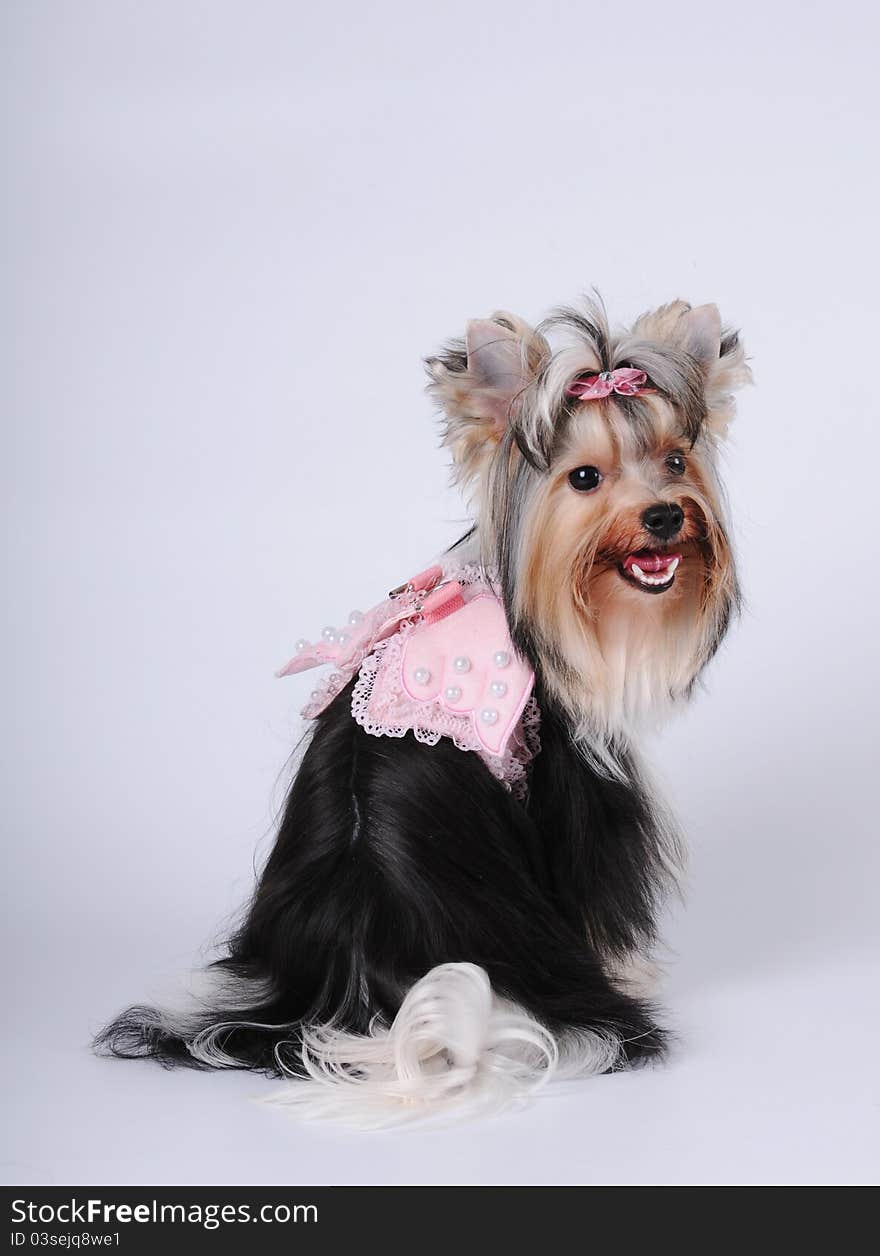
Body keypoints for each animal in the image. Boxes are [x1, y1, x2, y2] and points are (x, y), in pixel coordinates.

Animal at [99, 296, 753, 1130]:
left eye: (675, 460)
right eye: (584, 477)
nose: (666, 515)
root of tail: (363, 986)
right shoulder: (580, 784)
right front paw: (630, 971)